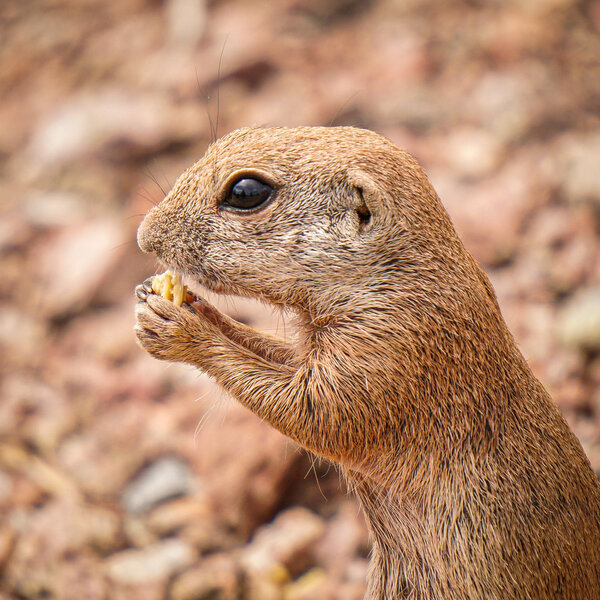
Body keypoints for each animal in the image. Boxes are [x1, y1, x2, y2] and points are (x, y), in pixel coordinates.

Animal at [135, 126, 600, 600]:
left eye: (246, 192)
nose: (144, 235)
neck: (401, 274)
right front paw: (182, 304)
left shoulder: (389, 344)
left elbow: (315, 411)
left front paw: (181, 327)